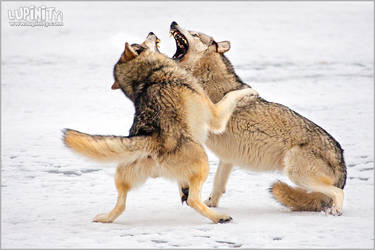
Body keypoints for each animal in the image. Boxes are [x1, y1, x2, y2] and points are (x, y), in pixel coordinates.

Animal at [64, 32, 258, 224]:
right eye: (140, 43)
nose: (151, 33)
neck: (150, 76)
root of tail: (151, 141)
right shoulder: (216, 115)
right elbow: (232, 95)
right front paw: (250, 91)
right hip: (203, 161)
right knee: (193, 200)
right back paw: (220, 217)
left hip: (122, 177)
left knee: (121, 205)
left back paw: (104, 218)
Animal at [169, 21, 348, 215]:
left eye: (194, 33)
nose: (173, 23)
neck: (205, 79)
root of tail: (342, 161)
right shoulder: (227, 158)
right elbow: (217, 186)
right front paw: (209, 205)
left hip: (297, 174)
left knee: (338, 193)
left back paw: (335, 212)